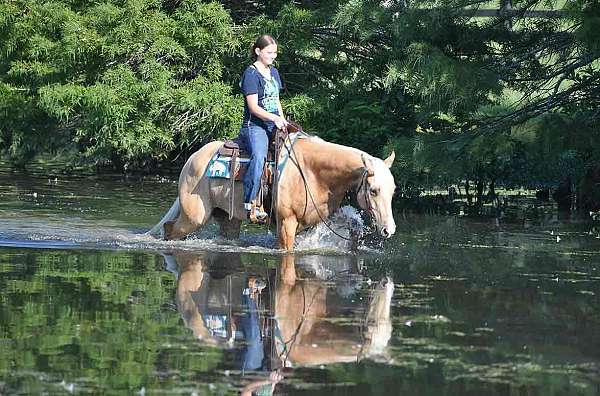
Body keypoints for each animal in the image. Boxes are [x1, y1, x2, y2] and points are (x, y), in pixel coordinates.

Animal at [148, 135, 396, 249]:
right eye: (374, 190)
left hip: (228, 219)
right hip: (195, 216)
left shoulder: (320, 216)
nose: (388, 230)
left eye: (393, 191)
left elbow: (353, 225)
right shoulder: (286, 223)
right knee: (170, 229)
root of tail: (192, 158)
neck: (313, 172)